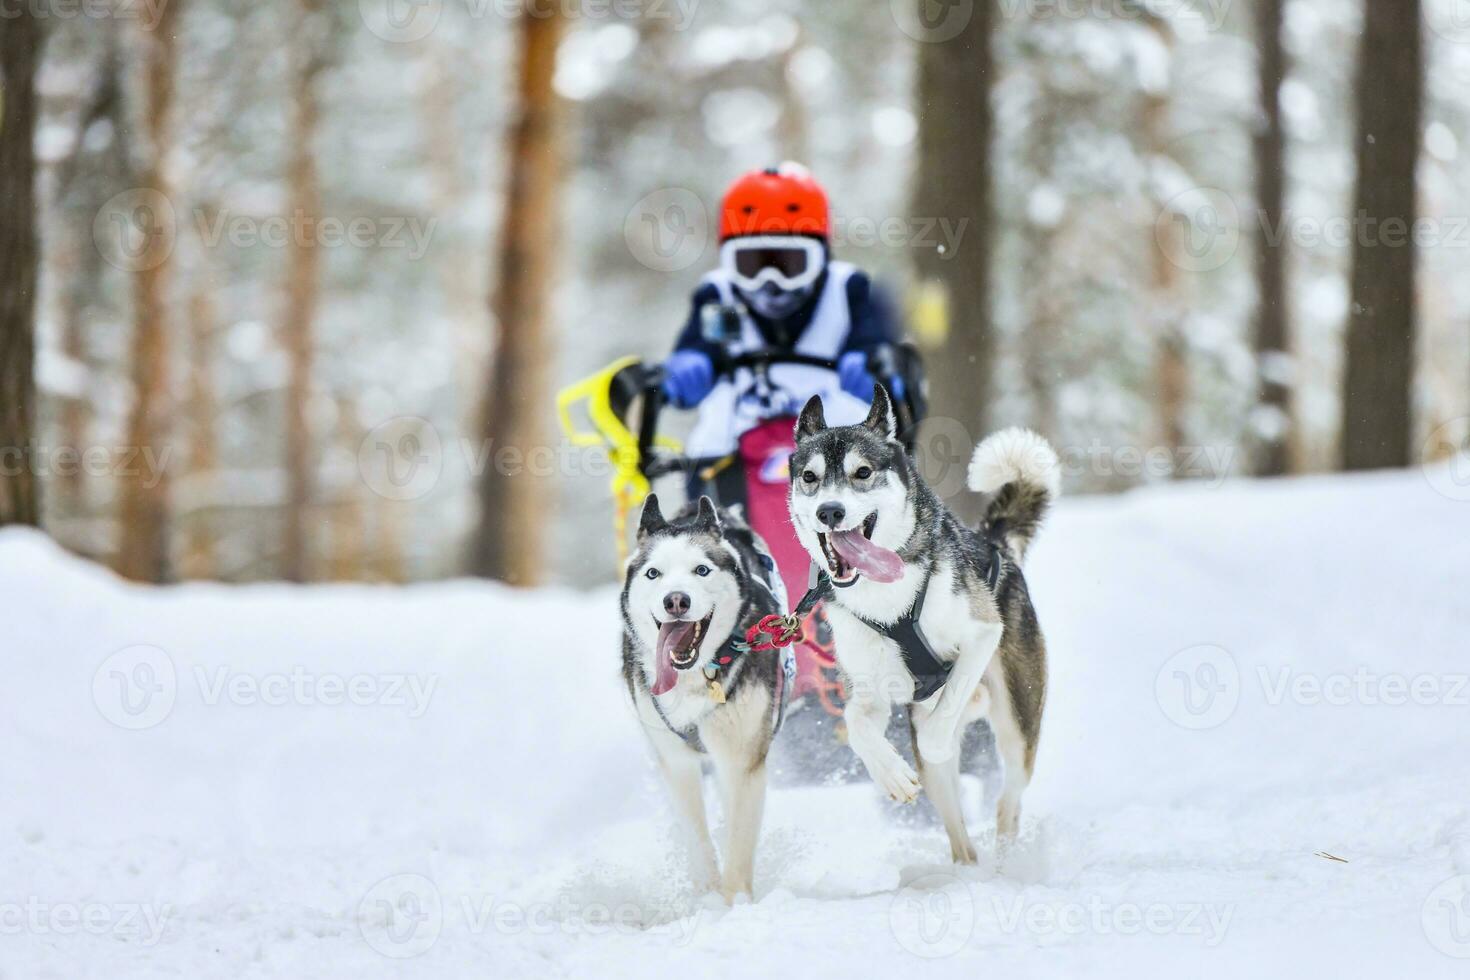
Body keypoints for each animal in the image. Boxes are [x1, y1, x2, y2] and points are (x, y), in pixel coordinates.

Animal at [626, 499, 799, 899]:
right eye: (654, 573)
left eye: (701, 570)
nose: (676, 600)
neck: (695, 677)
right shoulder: (676, 763)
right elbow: (697, 838)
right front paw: (708, 896)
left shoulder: (743, 761)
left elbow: (739, 843)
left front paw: (735, 904)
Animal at [793, 387, 1058, 863]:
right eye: (810, 476)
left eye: (862, 472)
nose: (829, 511)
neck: (886, 598)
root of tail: (994, 543)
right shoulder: (868, 690)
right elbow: (859, 728)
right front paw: (891, 775)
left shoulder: (981, 635)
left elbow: (944, 717)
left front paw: (939, 731)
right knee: (960, 836)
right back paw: (967, 869)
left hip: (1017, 724)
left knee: (1008, 798)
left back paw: (1008, 859)